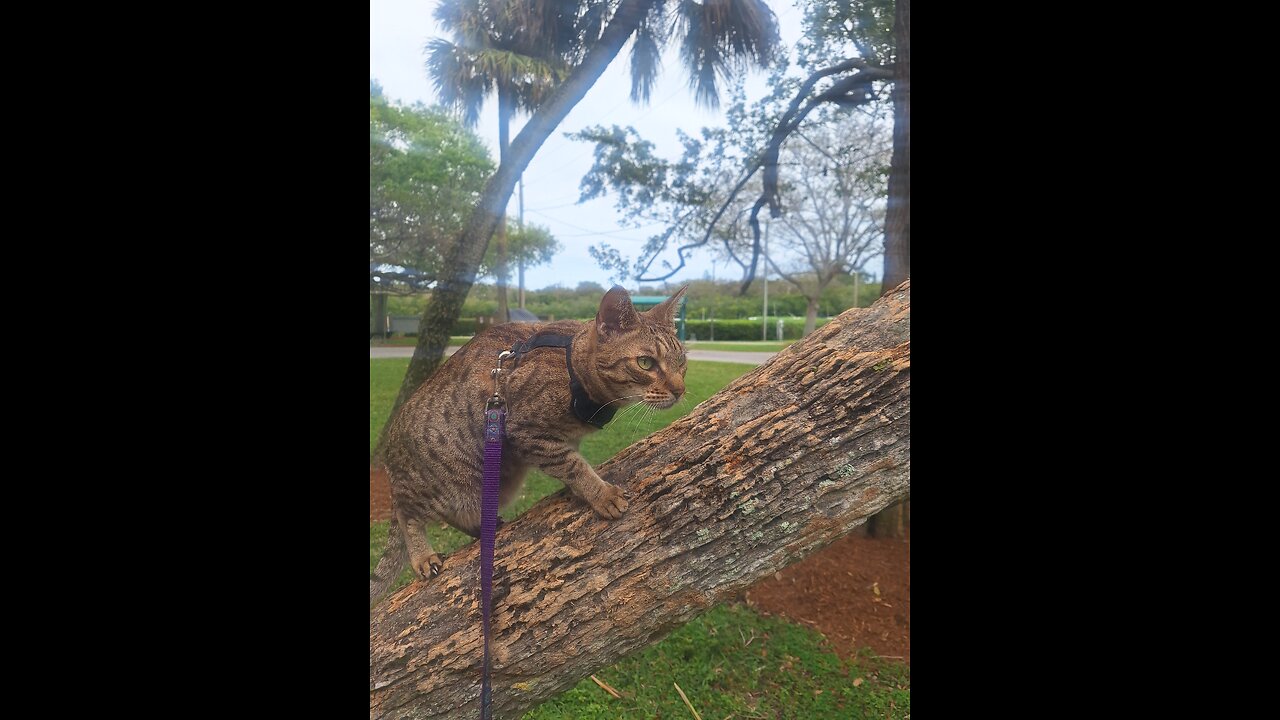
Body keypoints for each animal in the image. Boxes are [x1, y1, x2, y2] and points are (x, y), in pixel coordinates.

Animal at [371, 283, 691, 602]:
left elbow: (572, 462)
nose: (680, 390)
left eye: (682, 362)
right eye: (646, 363)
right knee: (406, 514)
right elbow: (574, 466)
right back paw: (421, 556)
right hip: (439, 484)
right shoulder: (525, 430)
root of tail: (390, 453)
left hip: (497, 483)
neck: (574, 369)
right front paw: (601, 494)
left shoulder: (562, 438)